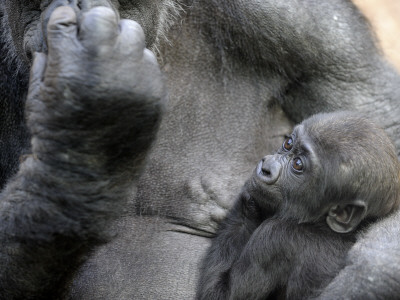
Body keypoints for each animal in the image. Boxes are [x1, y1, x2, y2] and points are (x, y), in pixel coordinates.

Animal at [196, 112, 400, 300]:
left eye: (298, 164)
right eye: (288, 144)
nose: (266, 168)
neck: (324, 227)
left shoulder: (274, 238)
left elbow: (219, 294)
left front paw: (249, 203)